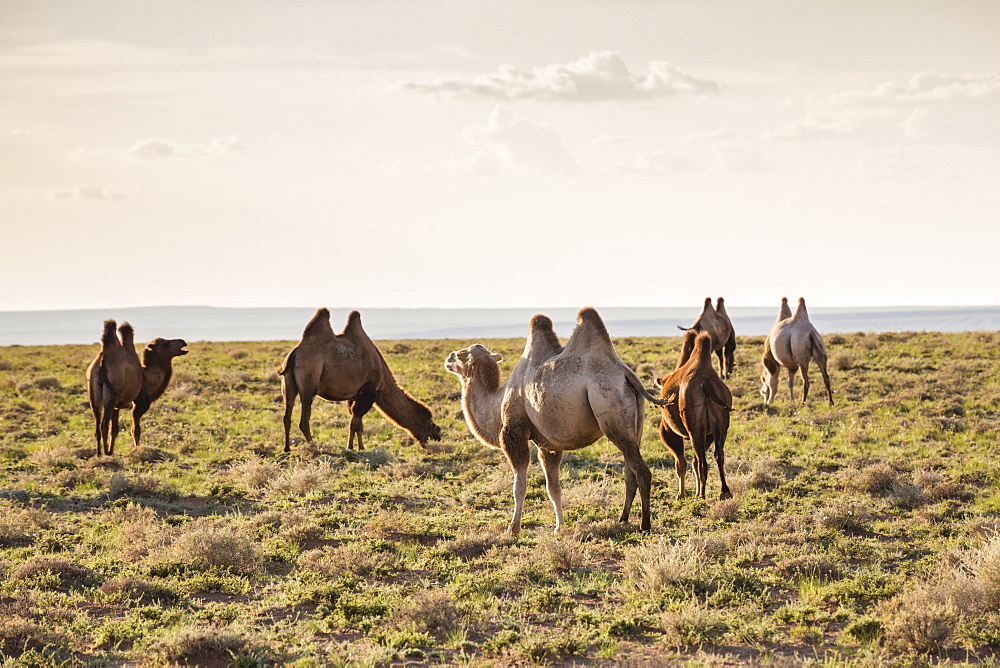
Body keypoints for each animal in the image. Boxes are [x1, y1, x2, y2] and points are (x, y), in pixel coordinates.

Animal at [87, 320, 145, 456]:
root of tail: (102, 362)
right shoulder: (118, 404)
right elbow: (115, 429)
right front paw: (111, 451)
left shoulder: (116, 405)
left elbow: (114, 430)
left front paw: (111, 450)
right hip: (111, 396)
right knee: (104, 425)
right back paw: (106, 452)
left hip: (94, 395)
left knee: (97, 425)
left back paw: (99, 453)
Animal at [278, 310, 442, 452]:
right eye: (433, 428)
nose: (437, 441)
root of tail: (295, 353)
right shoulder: (368, 392)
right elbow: (355, 423)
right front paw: (351, 448)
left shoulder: (356, 395)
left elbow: (357, 423)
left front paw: (360, 447)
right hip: (309, 381)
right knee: (304, 421)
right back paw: (315, 446)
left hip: (288, 382)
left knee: (287, 415)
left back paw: (287, 448)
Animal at [444, 306, 664, 536]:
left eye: (462, 354)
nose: (448, 357)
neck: (498, 400)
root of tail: (626, 373)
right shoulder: (548, 444)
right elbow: (554, 488)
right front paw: (560, 527)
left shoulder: (514, 432)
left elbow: (519, 486)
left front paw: (513, 528)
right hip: (634, 423)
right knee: (631, 472)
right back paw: (623, 518)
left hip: (610, 406)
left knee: (642, 472)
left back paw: (645, 524)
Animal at [656, 332, 736, 498]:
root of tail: (706, 384)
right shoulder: (708, 433)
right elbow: (692, 462)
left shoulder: (668, 431)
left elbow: (681, 463)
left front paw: (681, 495)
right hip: (720, 422)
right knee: (718, 455)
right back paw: (724, 492)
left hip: (694, 424)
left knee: (701, 460)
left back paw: (702, 496)